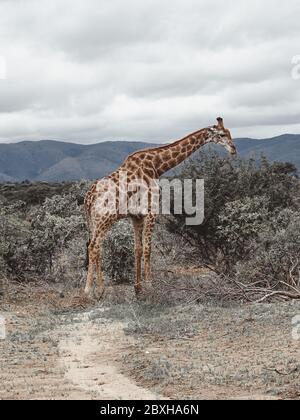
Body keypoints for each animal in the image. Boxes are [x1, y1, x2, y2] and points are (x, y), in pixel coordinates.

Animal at [84, 116, 237, 296]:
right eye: (221, 134)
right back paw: (89, 290)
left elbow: (137, 249)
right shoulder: (151, 211)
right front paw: (150, 286)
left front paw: (138, 288)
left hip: (95, 221)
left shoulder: (136, 217)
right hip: (105, 218)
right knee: (94, 246)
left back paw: (99, 289)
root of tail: (89, 197)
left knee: (94, 246)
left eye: (229, 133)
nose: (233, 149)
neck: (157, 166)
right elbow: (148, 249)